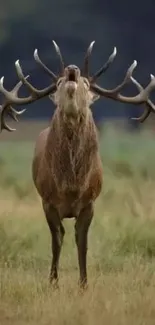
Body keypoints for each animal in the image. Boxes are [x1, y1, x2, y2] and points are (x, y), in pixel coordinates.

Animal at [0, 41, 155, 288]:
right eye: (59, 83)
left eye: (86, 83)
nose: (71, 69)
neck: (71, 186)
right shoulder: (47, 201)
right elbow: (57, 239)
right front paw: (53, 282)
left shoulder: (90, 201)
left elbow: (82, 241)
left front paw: (83, 284)